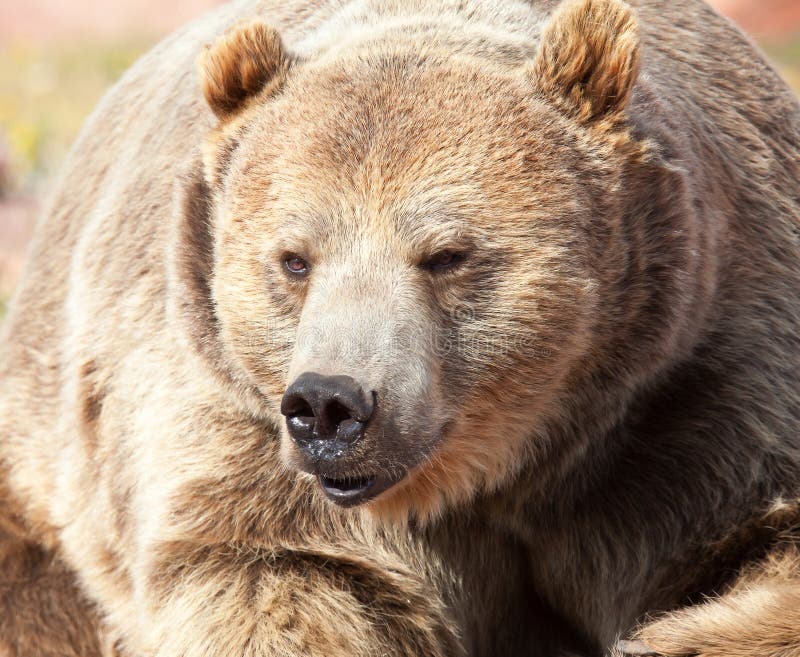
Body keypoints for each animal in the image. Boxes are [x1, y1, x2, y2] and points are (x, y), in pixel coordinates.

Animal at [1, 0, 800, 652]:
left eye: (446, 254)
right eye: (295, 259)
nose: (330, 404)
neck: (497, 468)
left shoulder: (696, 387)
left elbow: (756, 539)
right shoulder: (229, 416)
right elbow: (286, 572)